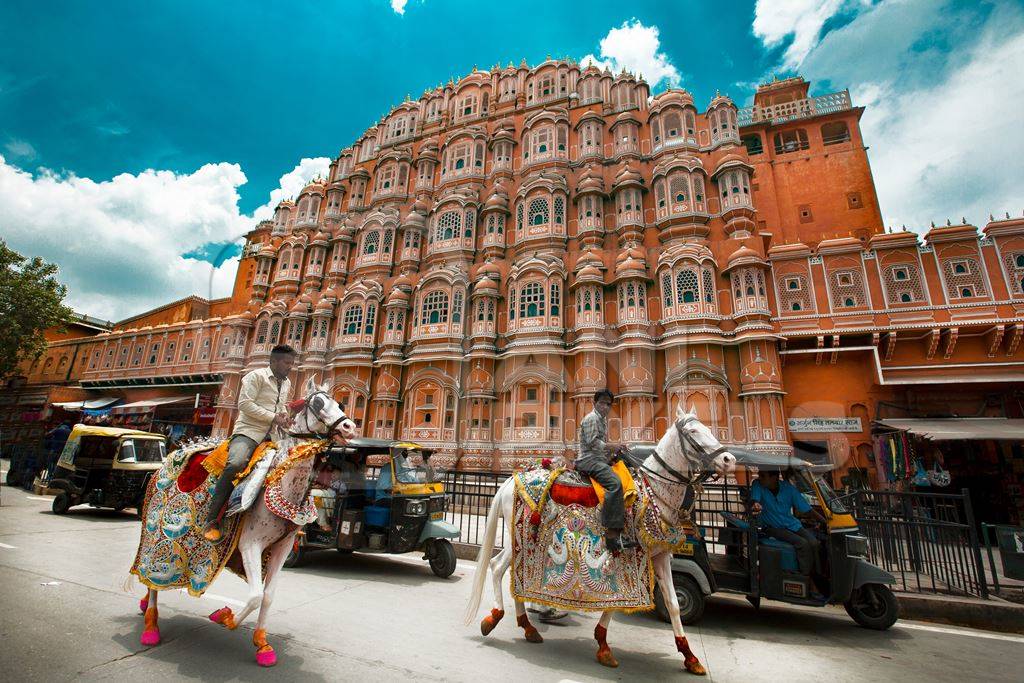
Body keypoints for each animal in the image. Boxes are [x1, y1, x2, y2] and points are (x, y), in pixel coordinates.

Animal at [130, 376, 358, 663]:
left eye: (340, 404)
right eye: (317, 403)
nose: (350, 427)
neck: (285, 486)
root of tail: (171, 456)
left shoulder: (283, 546)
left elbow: (268, 596)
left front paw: (262, 644)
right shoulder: (249, 543)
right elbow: (254, 596)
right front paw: (224, 617)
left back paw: (144, 606)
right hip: (155, 529)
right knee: (151, 573)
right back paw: (150, 625)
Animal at [464, 409, 737, 675]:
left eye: (707, 428)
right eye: (693, 432)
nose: (729, 460)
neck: (654, 493)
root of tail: (511, 480)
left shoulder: (659, 554)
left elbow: (672, 603)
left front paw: (690, 656)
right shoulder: (628, 554)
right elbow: (620, 599)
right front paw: (603, 645)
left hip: (519, 538)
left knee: (506, 569)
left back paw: (527, 627)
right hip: (519, 536)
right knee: (497, 567)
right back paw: (496, 618)